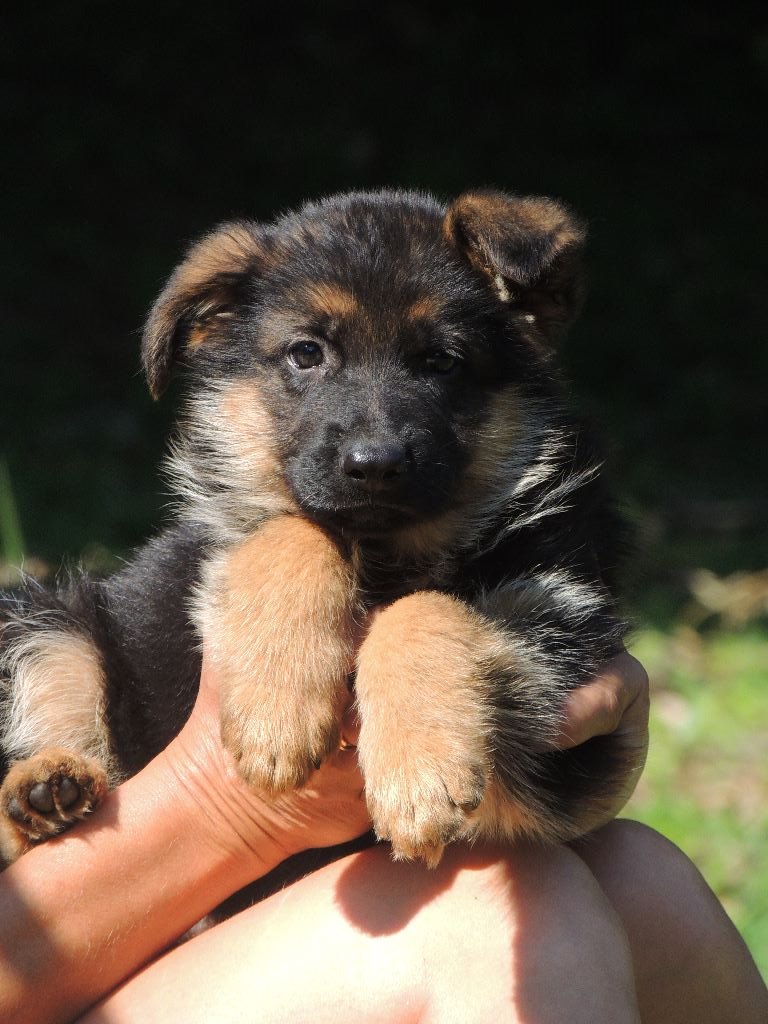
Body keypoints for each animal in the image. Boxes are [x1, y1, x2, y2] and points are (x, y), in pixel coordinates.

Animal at [0, 190, 643, 864]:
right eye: (306, 353)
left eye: (442, 361)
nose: (375, 464)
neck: (382, 550)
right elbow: (295, 533)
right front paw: (277, 712)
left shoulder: (561, 633)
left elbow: (428, 607)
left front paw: (420, 770)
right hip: (56, 620)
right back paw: (44, 788)